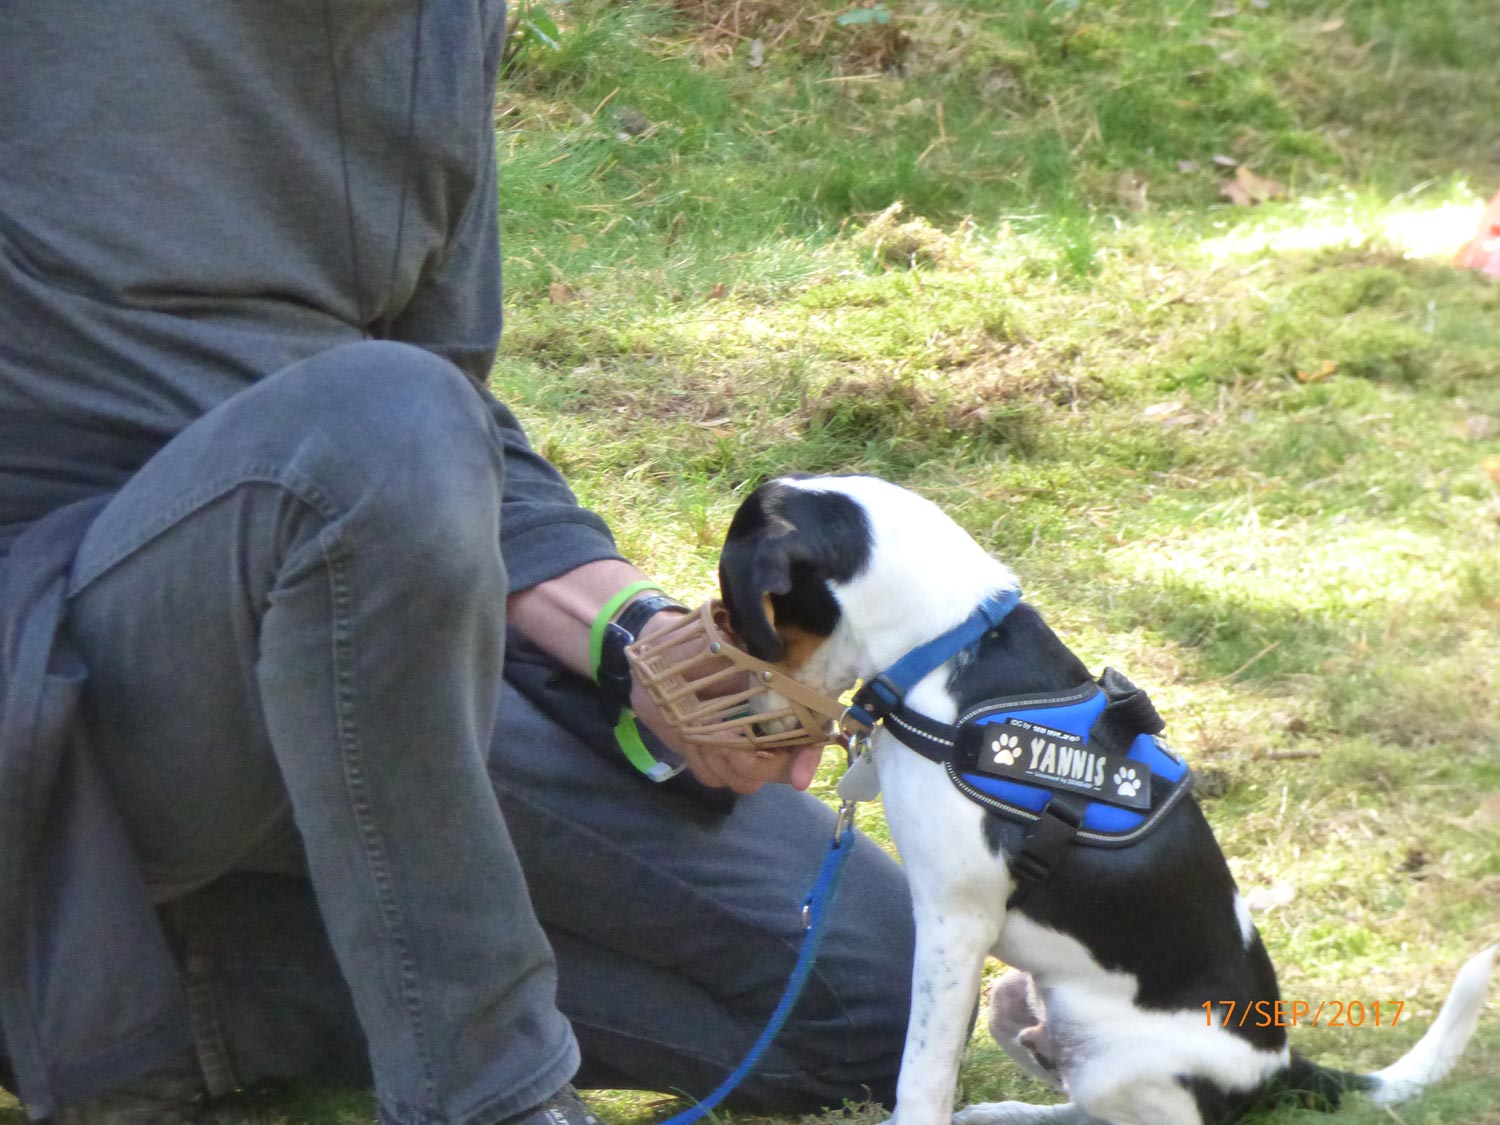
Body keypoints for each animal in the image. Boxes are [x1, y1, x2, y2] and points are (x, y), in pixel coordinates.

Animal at [720, 477, 1494, 1125]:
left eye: (734, 610)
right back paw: (1007, 1113)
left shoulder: (954, 923)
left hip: (1120, 1065)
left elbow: (923, 1077)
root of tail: (1278, 1069)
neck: (953, 645)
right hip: (1017, 1002)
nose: (746, 721)